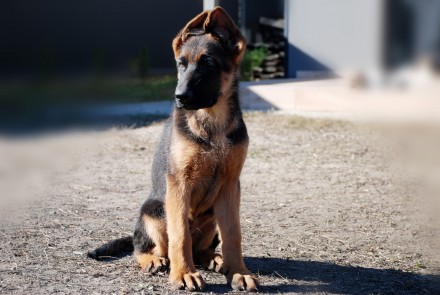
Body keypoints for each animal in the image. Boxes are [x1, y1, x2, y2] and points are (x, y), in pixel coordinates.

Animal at [87, 6, 258, 294]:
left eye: (209, 63)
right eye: (181, 63)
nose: (180, 97)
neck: (212, 121)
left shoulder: (230, 186)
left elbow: (233, 234)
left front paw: (238, 272)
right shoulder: (179, 183)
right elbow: (180, 235)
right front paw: (183, 273)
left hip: (211, 216)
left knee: (203, 247)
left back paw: (215, 259)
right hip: (155, 211)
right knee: (144, 247)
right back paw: (154, 260)